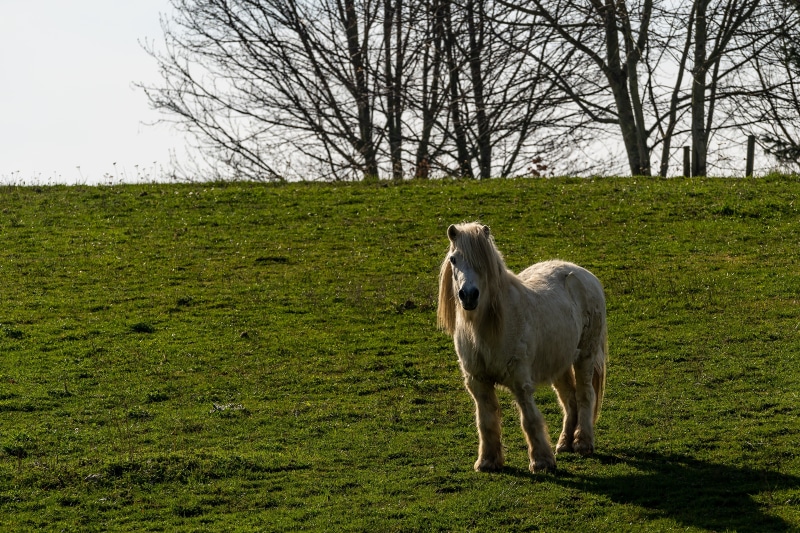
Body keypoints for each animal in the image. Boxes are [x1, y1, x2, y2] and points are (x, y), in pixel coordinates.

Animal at [437, 222, 607, 474]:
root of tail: (583, 273)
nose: (468, 295)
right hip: (560, 363)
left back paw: (582, 443)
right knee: (569, 399)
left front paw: (542, 462)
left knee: (585, 394)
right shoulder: (479, 382)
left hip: (585, 355)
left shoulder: (520, 382)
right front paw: (487, 461)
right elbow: (486, 421)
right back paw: (564, 443)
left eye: (483, 262)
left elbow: (529, 419)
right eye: (454, 259)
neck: (486, 329)